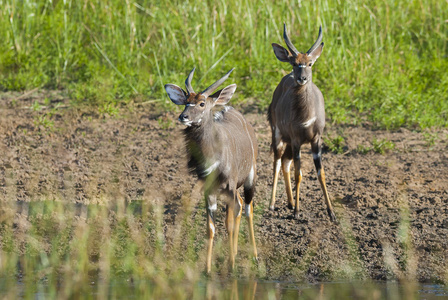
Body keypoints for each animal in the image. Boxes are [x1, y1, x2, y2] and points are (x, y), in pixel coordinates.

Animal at [164, 67, 260, 272]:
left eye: (201, 103)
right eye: (186, 101)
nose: (183, 117)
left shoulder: (229, 186)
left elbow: (228, 224)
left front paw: (231, 265)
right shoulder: (210, 190)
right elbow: (211, 227)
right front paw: (208, 269)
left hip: (250, 178)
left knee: (247, 208)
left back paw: (255, 256)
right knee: (240, 205)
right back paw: (236, 252)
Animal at [266, 23, 336, 221]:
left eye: (310, 63)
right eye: (294, 63)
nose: (302, 78)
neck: (305, 118)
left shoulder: (316, 140)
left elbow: (321, 173)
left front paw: (331, 212)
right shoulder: (297, 140)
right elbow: (299, 174)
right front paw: (297, 212)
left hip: (289, 143)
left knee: (285, 162)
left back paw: (290, 203)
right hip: (278, 135)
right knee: (277, 162)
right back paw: (273, 205)